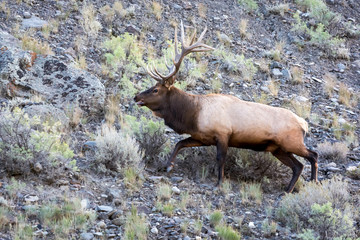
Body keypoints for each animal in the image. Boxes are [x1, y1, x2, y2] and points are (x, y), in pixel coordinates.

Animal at [135, 21, 318, 193]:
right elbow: (179, 144)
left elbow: (220, 159)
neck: (193, 114)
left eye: (155, 89)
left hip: (292, 142)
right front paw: (168, 166)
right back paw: (287, 190)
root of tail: (304, 124)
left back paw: (314, 181)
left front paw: (219, 183)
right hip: (278, 149)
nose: (136, 96)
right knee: (298, 166)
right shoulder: (202, 137)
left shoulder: (223, 134)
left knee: (313, 155)